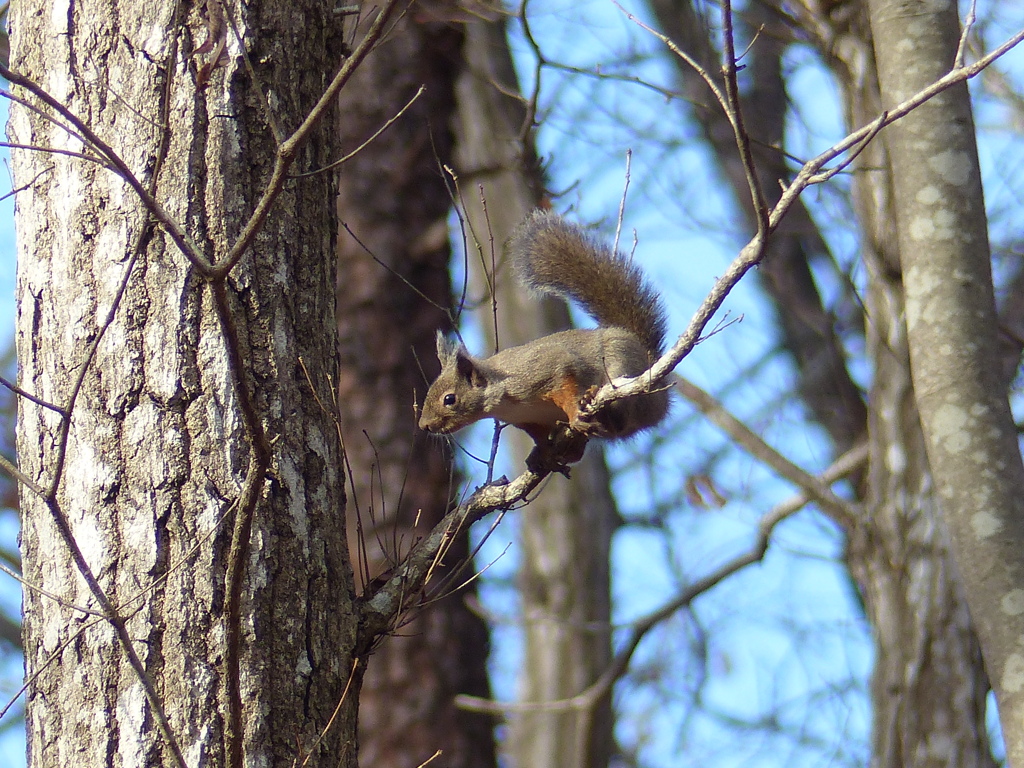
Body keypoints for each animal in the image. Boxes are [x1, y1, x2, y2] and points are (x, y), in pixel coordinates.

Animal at [417, 207, 671, 466]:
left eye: (449, 399)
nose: (424, 425)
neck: (503, 401)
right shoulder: (526, 419)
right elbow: (538, 435)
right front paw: (542, 453)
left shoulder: (542, 370)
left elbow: (565, 381)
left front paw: (575, 414)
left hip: (622, 366)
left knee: (623, 415)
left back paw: (601, 405)